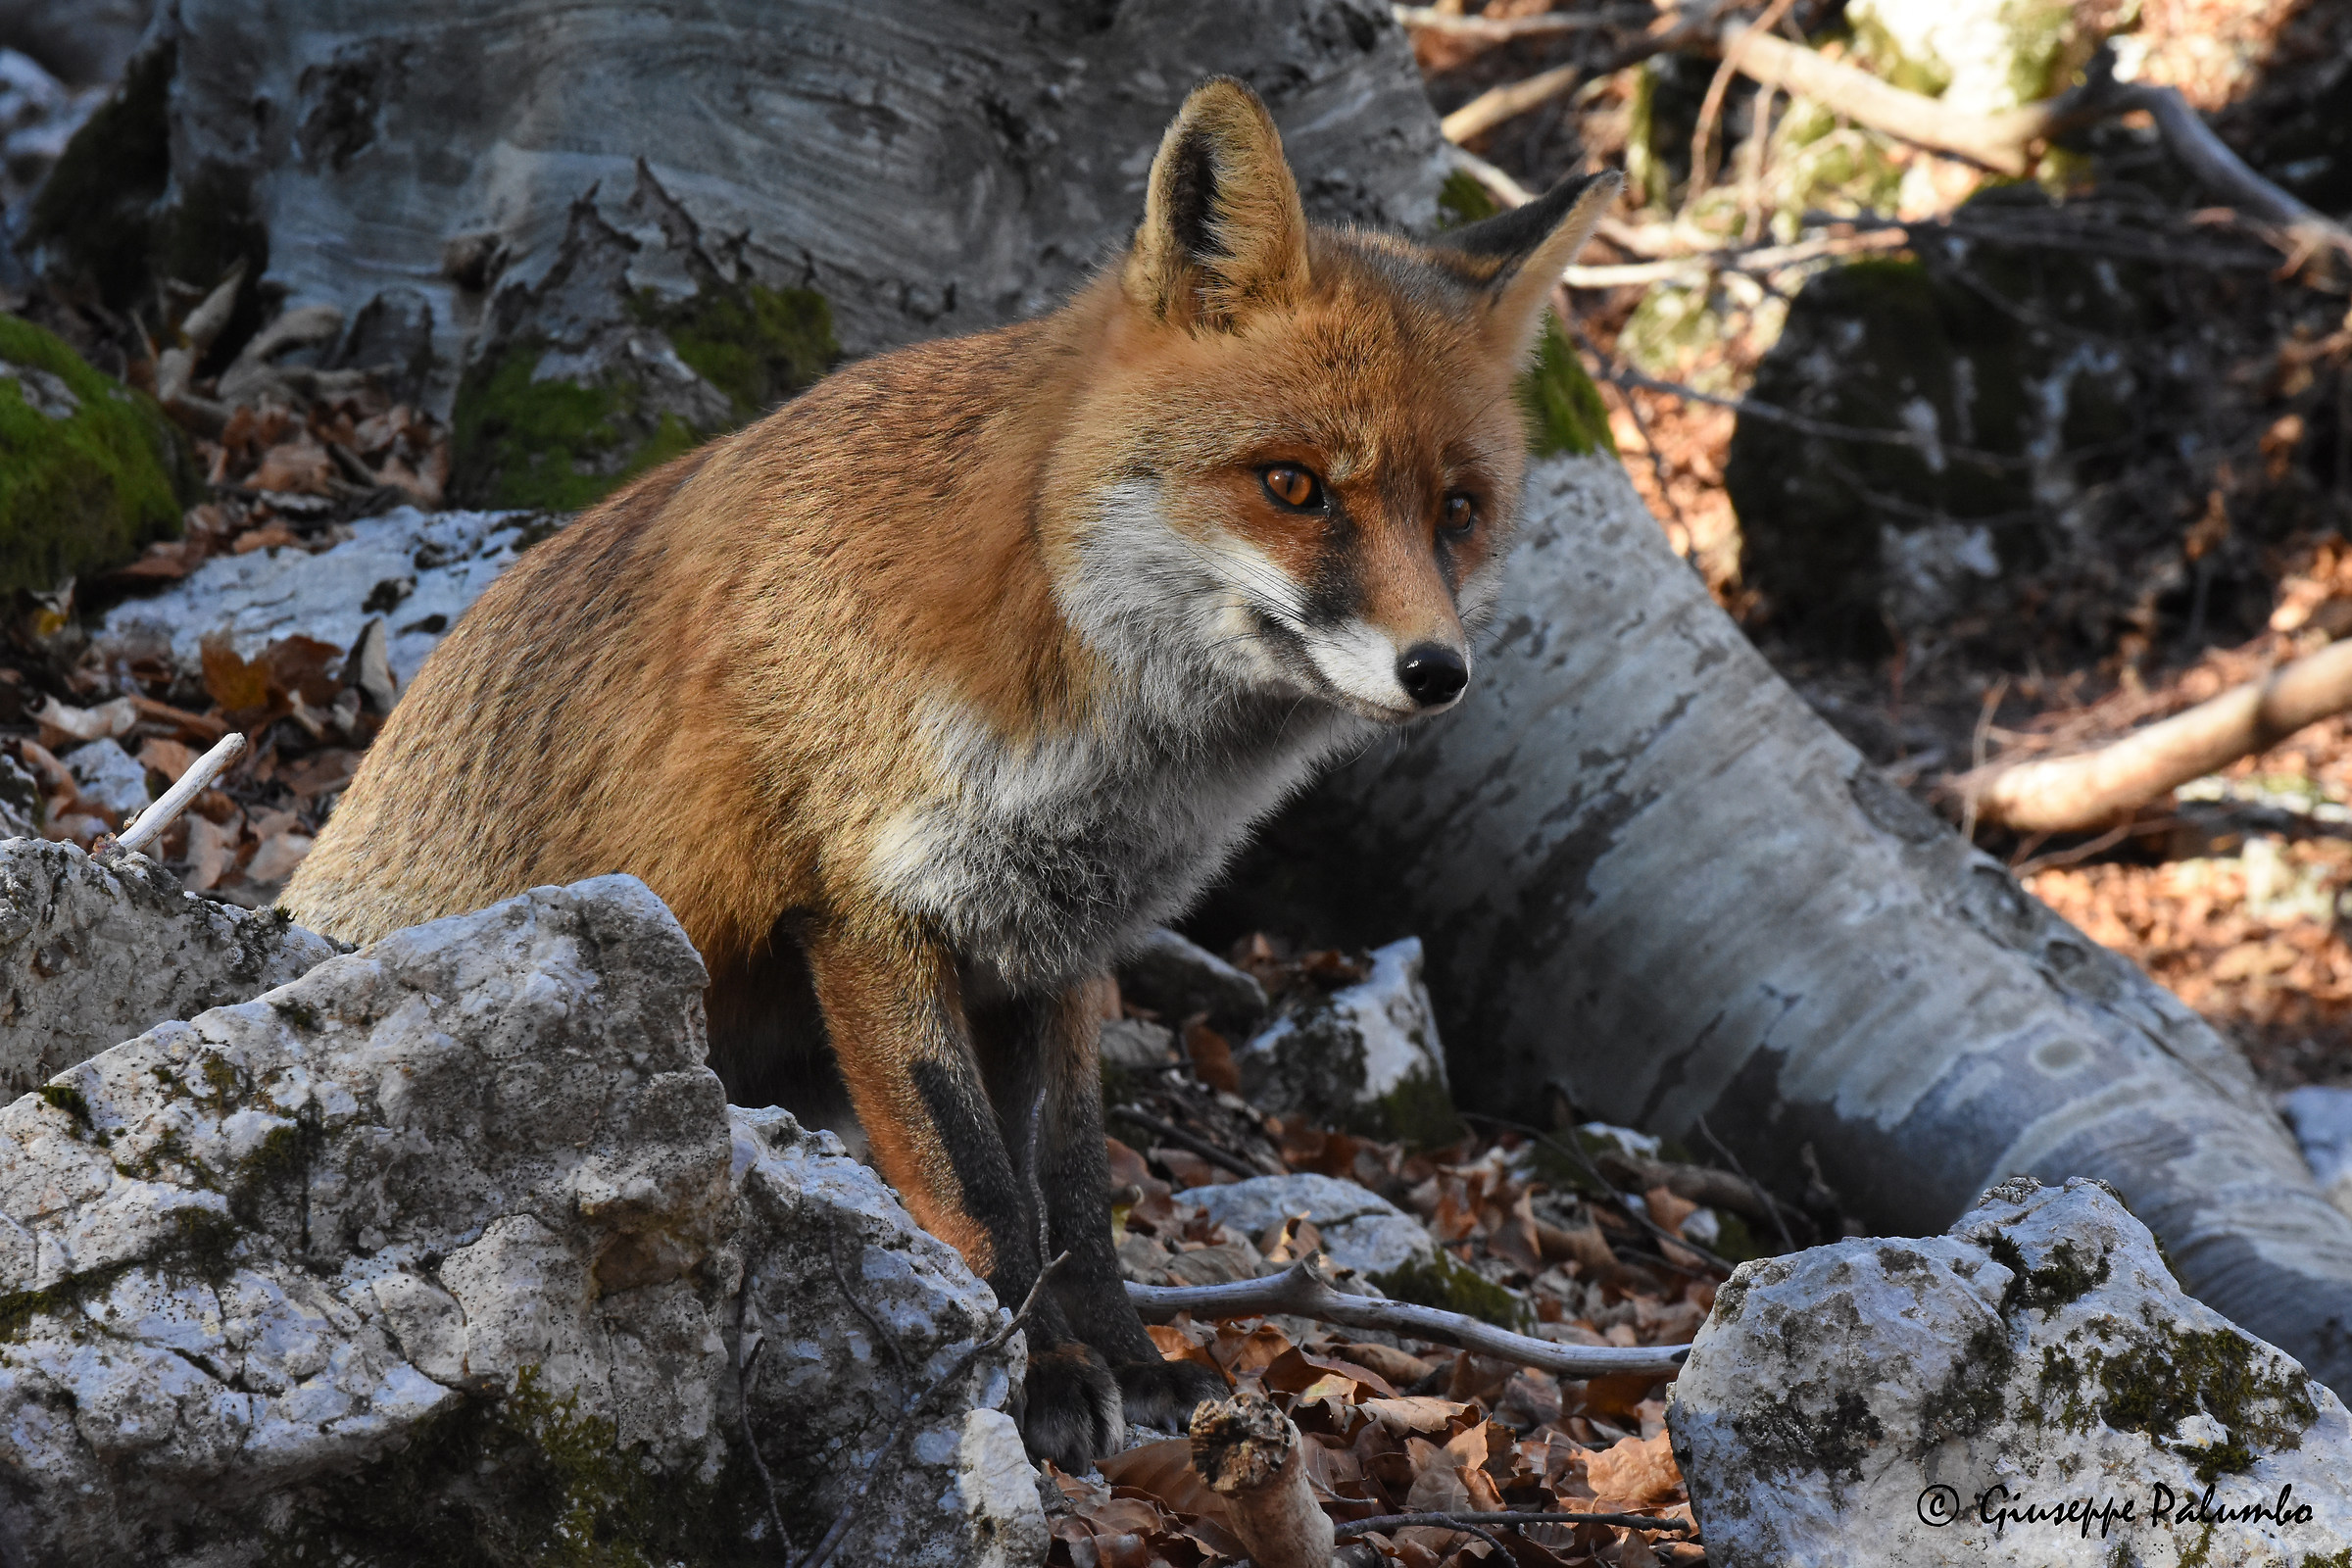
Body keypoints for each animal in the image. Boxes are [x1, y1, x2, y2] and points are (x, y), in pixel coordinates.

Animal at [285, 77, 1617, 1471]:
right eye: (1293, 485)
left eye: (1459, 510)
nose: (1438, 671)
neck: (1095, 744)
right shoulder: (865, 911)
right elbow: (980, 1191)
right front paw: (1032, 1379)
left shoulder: (1055, 949)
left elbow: (1074, 1194)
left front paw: (1131, 1367)